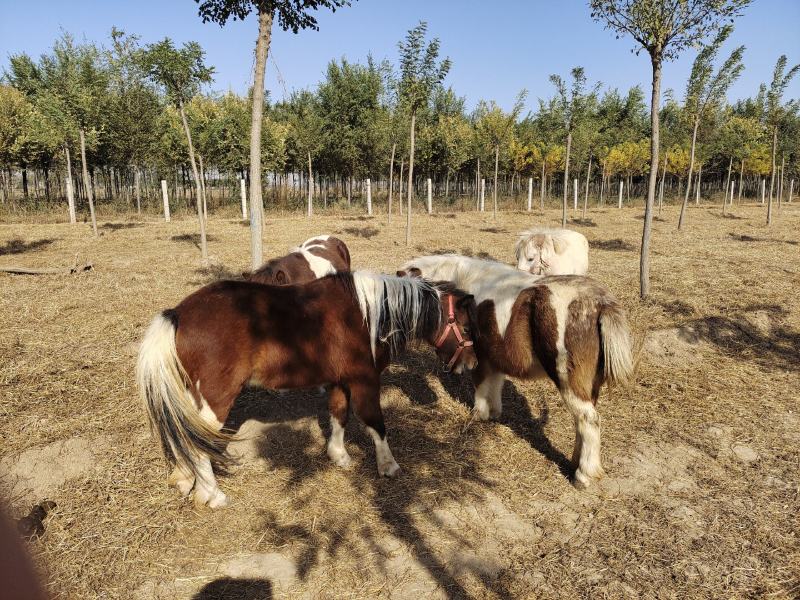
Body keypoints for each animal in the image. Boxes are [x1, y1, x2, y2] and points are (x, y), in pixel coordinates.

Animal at [136, 271, 477, 508]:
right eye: (466, 326)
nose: (471, 364)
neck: (367, 315)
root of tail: (178, 314)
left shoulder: (340, 381)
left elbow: (339, 415)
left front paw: (338, 455)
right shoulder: (365, 380)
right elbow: (376, 424)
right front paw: (388, 466)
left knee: (184, 432)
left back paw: (185, 478)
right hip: (217, 398)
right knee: (197, 441)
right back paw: (214, 494)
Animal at [399, 255, 633, 489]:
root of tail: (601, 303)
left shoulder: (481, 357)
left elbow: (481, 386)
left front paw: (478, 415)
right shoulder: (495, 359)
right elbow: (495, 385)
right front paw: (493, 414)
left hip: (569, 380)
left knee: (588, 419)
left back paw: (583, 476)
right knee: (581, 423)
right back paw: (574, 465)